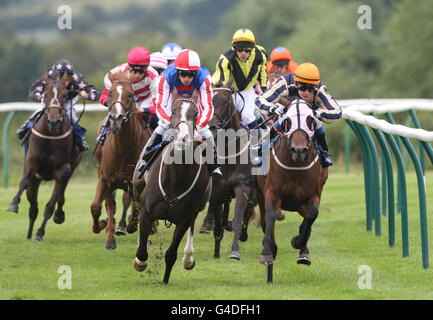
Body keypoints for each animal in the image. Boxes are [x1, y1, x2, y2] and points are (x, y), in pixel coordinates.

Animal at [6, 72, 82, 241]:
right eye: (45, 95)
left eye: (64, 95)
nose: (54, 120)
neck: (51, 135)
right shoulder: (31, 162)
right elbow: (24, 182)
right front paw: (13, 204)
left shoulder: (61, 170)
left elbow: (51, 205)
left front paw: (40, 233)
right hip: (36, 180)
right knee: (33, 206)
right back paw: (28, 233)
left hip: (71, 168)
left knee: (59, 196)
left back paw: (57, 216)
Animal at [89, 71, 150, 251]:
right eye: (109, 94)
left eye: (130, 95)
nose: (116, 118)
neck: (124, 149)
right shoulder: (106, 179)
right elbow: (97, 207)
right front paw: (105, 231)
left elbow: (137, 205)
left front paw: (132, 225)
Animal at [132, 89, 212, 284]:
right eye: (173, 110)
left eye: (196, 113)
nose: (183, 137)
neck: (176, 178)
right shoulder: (147, 210)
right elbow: (142, 252)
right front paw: (140, 262)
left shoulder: (184, 218)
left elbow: (171, 254)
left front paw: (165, 280)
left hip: (197, 208)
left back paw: (188, 258)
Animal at [256, 98, 328, 282]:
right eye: (287, 121)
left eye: (311, 120)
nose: (299, 150)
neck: (296, 166)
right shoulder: (271, 192)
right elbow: (271, 215)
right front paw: (266, 253)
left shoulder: (313, 195)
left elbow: (311, 216)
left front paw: (299, 244)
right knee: (266, 221)